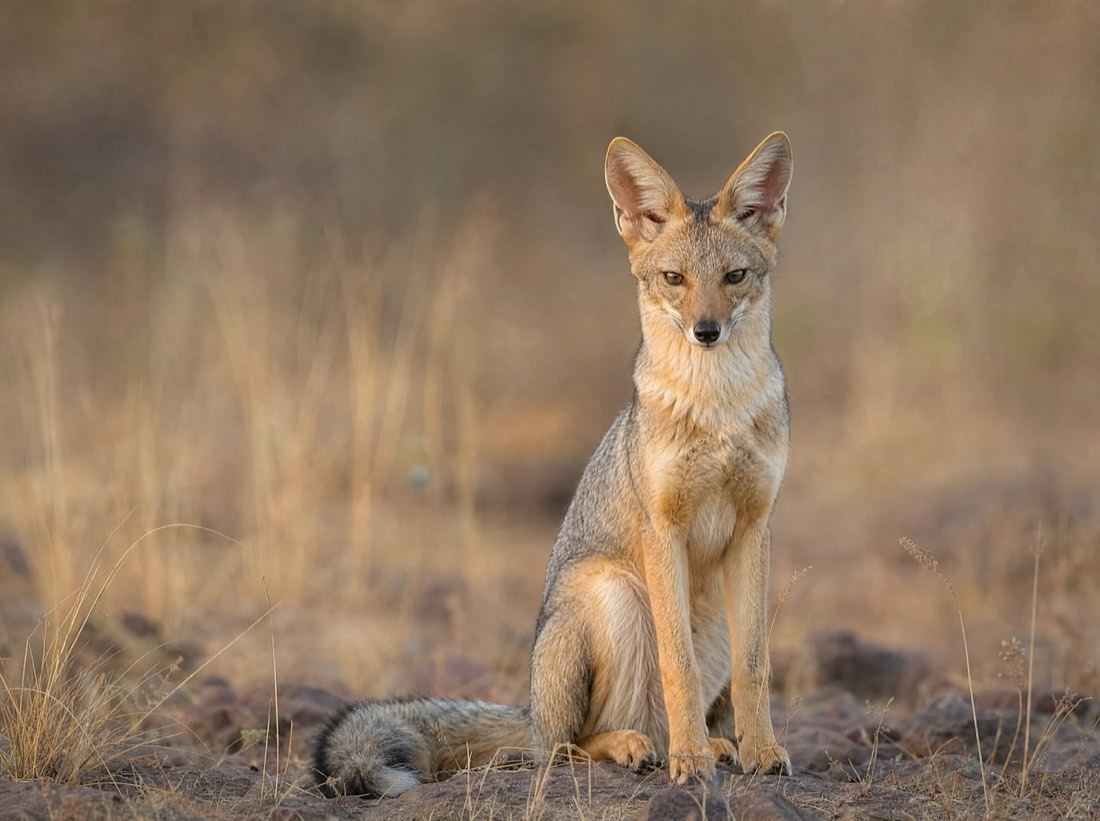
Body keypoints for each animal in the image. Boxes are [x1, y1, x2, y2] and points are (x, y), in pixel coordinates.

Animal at [314, 131, 795, 797]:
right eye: (673, 278)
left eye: (735, 276)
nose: (707, 331)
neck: (715, 409)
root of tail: (531, 710)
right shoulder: (663, 527)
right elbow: (678, 665)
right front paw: (691, 764)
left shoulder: (756, 526)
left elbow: (757, 667)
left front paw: (762, 751)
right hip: (615, 593)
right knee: (565, 746)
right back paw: (647, 747)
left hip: (706, 614)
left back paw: (714, 743)